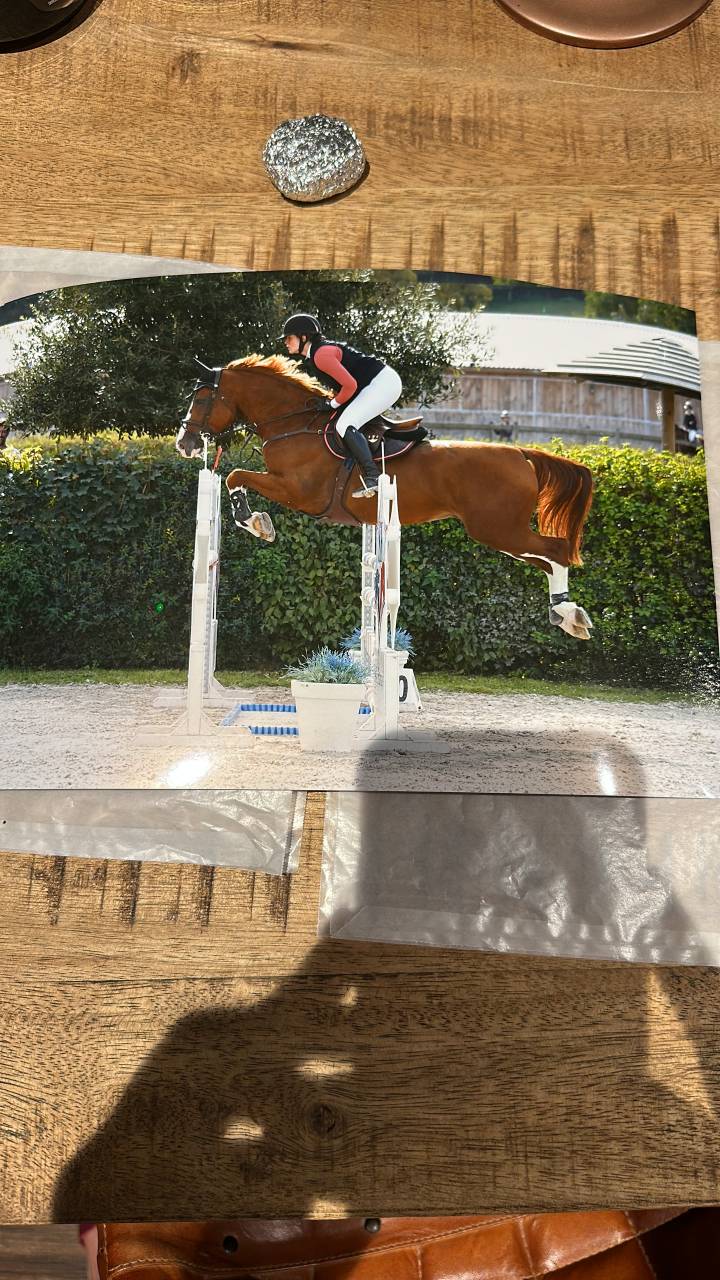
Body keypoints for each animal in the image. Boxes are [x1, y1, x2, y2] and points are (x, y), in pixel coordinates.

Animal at [176, 354, 594, 640]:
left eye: (201, 400)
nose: (184, 443)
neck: (293, 424)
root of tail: (522, 453)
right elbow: (236, 476)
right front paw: (257, 521)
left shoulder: (299, 492)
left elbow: (235, 475)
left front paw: (256, 523)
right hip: (500, 534)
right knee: (546, 560)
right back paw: (565, 615)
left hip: (497, 529)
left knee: (556, 551)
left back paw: (569, 614)